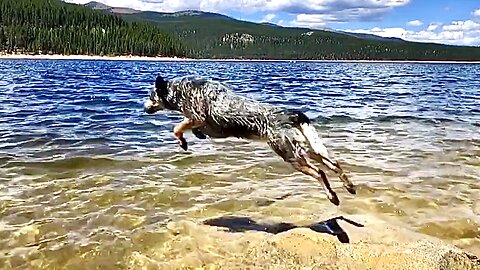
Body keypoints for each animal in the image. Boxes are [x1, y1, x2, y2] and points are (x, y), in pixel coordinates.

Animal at [144, 75, 354, 205]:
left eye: (151, 97)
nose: (144, 108)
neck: (179, 91)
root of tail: (291, 115)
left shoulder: (197, 117)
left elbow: (177, 127)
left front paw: (183, 141)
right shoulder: (204, 124)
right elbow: (191, 129)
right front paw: (196, 136)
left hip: (289, 154)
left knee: (320, 172)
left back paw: (332, 196)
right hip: (308, 148)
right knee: (334, 164)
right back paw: (349, 186)